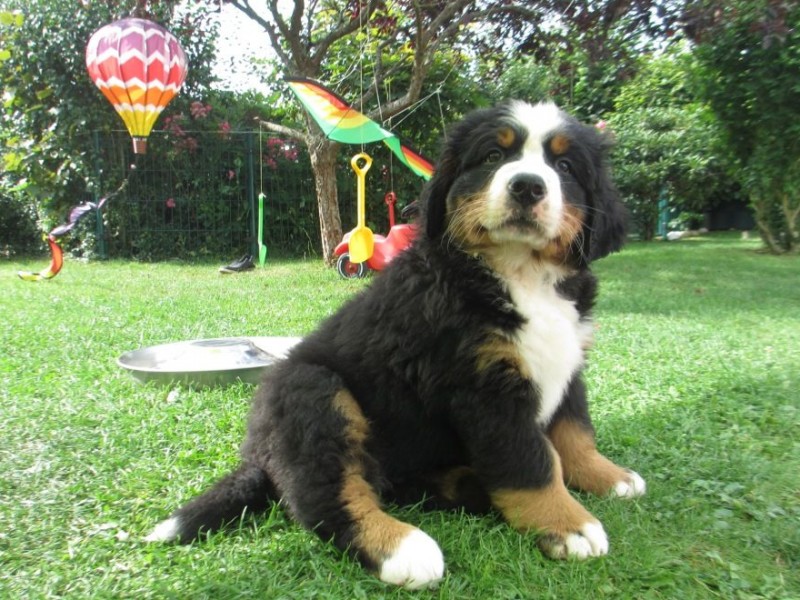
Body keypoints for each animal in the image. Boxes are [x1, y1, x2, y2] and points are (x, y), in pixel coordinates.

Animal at [146, 100, 645, 589]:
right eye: (492, 156)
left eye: (564, 165)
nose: (526, 186)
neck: (522, 273)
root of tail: (258, 454)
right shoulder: (484, 387)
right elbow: (533, 461)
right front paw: (570, 525)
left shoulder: (568, 363)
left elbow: (574, 432)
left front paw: (609, 477)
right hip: (314, 390)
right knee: (324, 496)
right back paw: (400, 547)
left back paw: (472, 488)